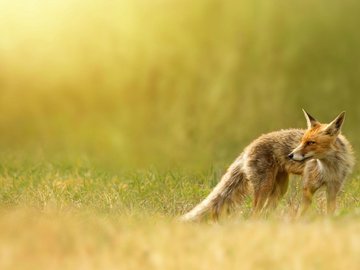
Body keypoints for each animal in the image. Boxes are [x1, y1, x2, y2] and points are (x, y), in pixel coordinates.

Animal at [180, 109, 354, 221]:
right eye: (302, 141)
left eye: (311, 143)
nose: (290, 155)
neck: (329, 168)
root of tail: (248, 147)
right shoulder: (308, 187)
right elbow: (302, 214)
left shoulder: (333, 189)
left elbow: (330, 212)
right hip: (265, 187)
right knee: (255, 214)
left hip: (279, 190)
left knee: (265, 212)